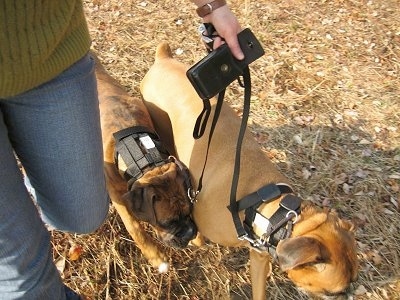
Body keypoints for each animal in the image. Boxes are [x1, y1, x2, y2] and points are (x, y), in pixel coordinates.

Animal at [94, 52, 197, 274]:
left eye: (189, 211)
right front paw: (156, 256)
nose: (190, 233)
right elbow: (135, 228)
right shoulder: (119, 197)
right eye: (167, 222)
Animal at [141, 43, 360, 298]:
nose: (352, 295)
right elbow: (196, 232)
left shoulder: (259, 256)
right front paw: (197, 242)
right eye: (333, 292)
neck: (268, 209)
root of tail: (163, 58)